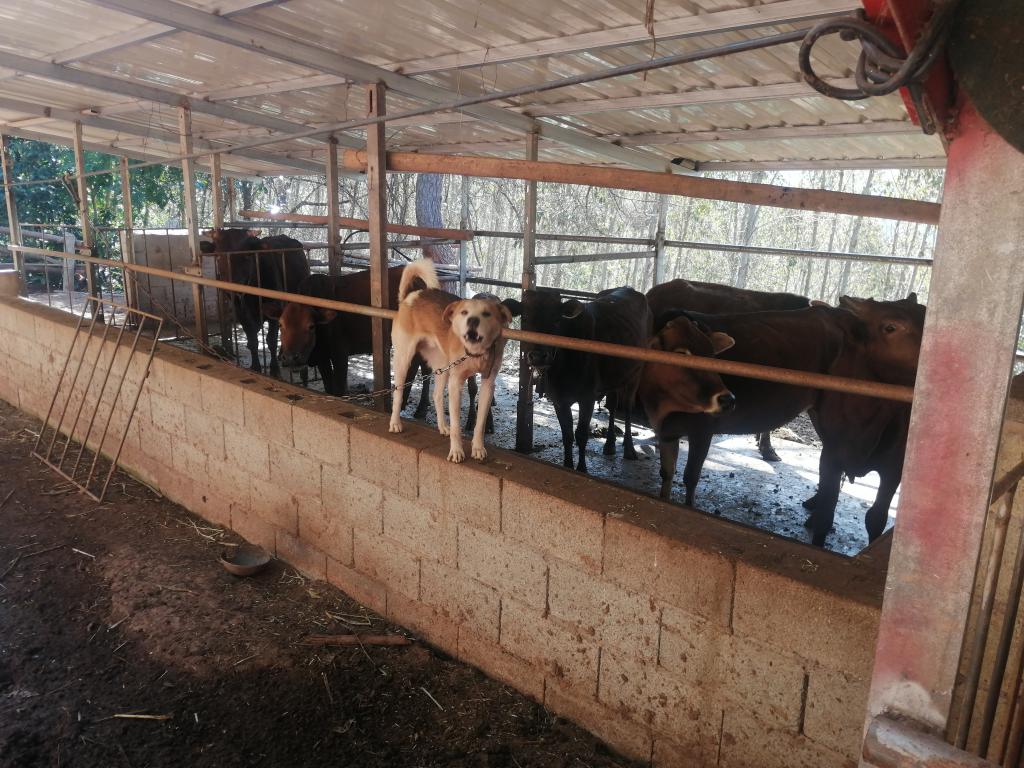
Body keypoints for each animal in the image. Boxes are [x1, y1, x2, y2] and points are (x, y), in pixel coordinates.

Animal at [207, 228, 309, 375]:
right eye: (218, 256)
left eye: (247, 256)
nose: (233, 285)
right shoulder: (241, 314)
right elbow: (252, 340)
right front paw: (255, 367)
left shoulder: (274, 309)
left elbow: (271, 340)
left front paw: (274, 370)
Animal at [389, 259, 513, 463]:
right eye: (464, 313)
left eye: (487, 314)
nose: (472, 320)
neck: (475, 353)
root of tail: (412, 296)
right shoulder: (456, 383)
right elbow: (456, 425)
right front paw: (456, 451)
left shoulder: (488, 384)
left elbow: (480, 423)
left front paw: (478, 448)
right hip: (403, 359)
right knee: (398, 391)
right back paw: (395, 423)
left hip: (443, 367)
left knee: (437, 395)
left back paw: (442, 426)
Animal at [505, 288, 652, 472]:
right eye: (524, 318)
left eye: (556, 320)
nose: (538, 356)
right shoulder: (559, 399)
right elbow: (567, 435)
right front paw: (567, 466)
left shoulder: (587, 398)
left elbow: (581, 435)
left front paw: (582, 469)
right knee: (612, 406)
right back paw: (610, 444)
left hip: (636, 374)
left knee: (627, 408)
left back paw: (629, 449)